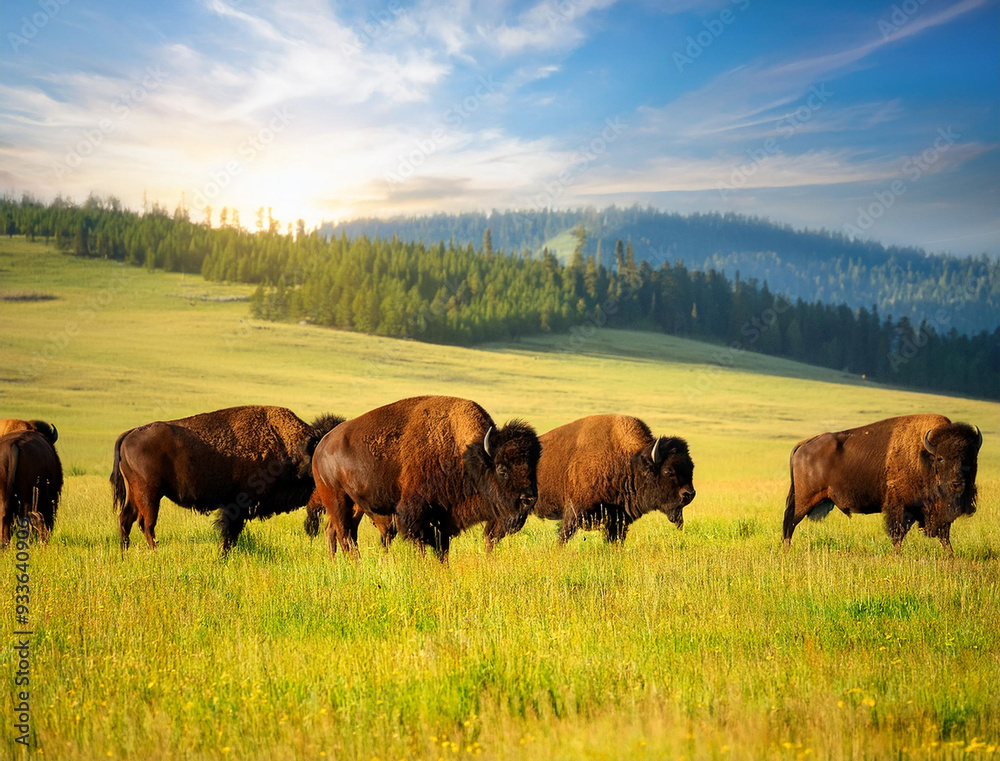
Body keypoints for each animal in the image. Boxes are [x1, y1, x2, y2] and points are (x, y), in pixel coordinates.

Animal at [111, 405, 342, 552]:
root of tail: (129, 434)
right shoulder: (237, 505)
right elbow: (229, 534)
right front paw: (223, 556)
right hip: (149, 494)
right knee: (146, 524)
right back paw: (155, 552)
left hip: (135, 494)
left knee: (126, 519)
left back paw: (125, 553)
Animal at [311, 395, 540, 561]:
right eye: (502, 469)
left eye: (532, 468)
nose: (528, 499)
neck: (466, 455)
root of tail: (321, 446)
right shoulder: (415, 514)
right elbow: (421, 543)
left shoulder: (444, 518)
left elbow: (442, 549)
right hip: (337, 499)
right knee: (344, 534)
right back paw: (355, 564)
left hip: (355, 505)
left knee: (337, 532)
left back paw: (336, 563)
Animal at [483, 414, 695, 547]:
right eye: (668, 471)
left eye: (691, 468)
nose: (689, 494)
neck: (628, 460)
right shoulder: (574, 512)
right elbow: (563, 537)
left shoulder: (617, 521)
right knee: (492, 535)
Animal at [783, 414, 982, 553]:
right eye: (940, 458)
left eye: (970, 458)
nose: (958, 483)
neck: (924, 455)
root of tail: (803, 444)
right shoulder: (900, 507)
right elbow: (897, 533)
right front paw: (897, 555)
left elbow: (944, 535)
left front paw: (951, 554)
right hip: (804, 501)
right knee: (790, 523)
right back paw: (786, 551)